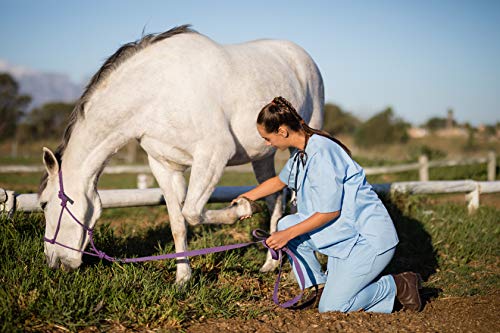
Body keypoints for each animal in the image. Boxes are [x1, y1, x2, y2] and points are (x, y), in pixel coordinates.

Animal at [39, 25, 324, 282]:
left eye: (43, 203)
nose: (53, 262)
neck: (156, 91)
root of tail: (300, 55)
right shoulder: (164, 166)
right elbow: (178, 223)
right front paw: (183, 278)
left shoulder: (213, 154)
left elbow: (193, 213)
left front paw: (242, 207)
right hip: (262, 155)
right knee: (275, 198)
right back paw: (270, 263)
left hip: (302, 141)